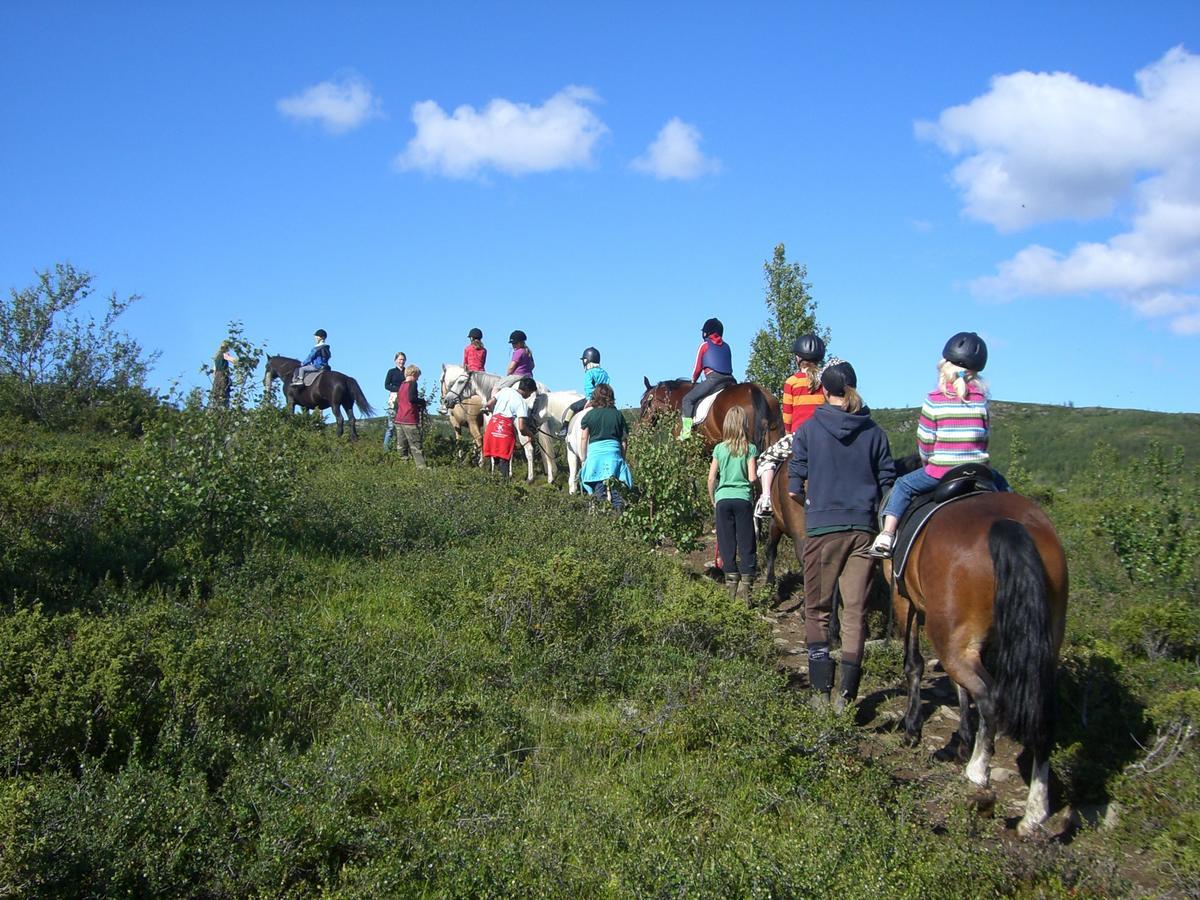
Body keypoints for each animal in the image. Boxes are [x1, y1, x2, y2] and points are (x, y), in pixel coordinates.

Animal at [892, 494, 1070, 840]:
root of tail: (1008, 525)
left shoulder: (904, 600)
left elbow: (914, 664)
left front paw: (911, 728)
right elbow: (960, 689)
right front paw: (961, 740)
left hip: (949, 636)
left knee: (990, 697)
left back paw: (977, 771)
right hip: (1043, 641)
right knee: (1042, 710)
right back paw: (1034, 812)